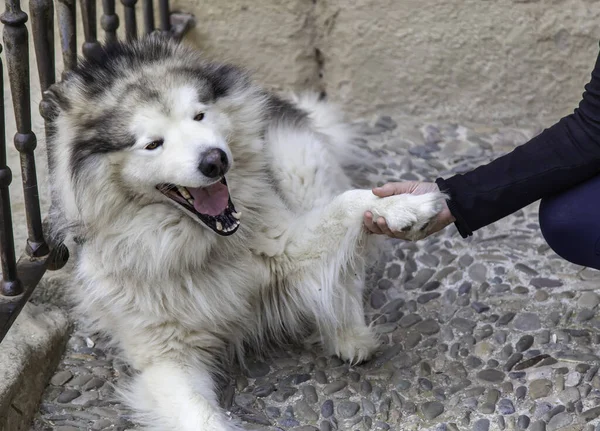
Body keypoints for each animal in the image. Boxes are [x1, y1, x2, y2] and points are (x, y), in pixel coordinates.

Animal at [44, 35, 448, 430]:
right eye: (152, 144)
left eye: (199, 115)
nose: (215, 161)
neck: (201, 246)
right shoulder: (167, 359)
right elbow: (202, 417)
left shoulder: (287, 249)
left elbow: (348, 206)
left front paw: (401, 206)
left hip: (295, 160)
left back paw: (348, 334)